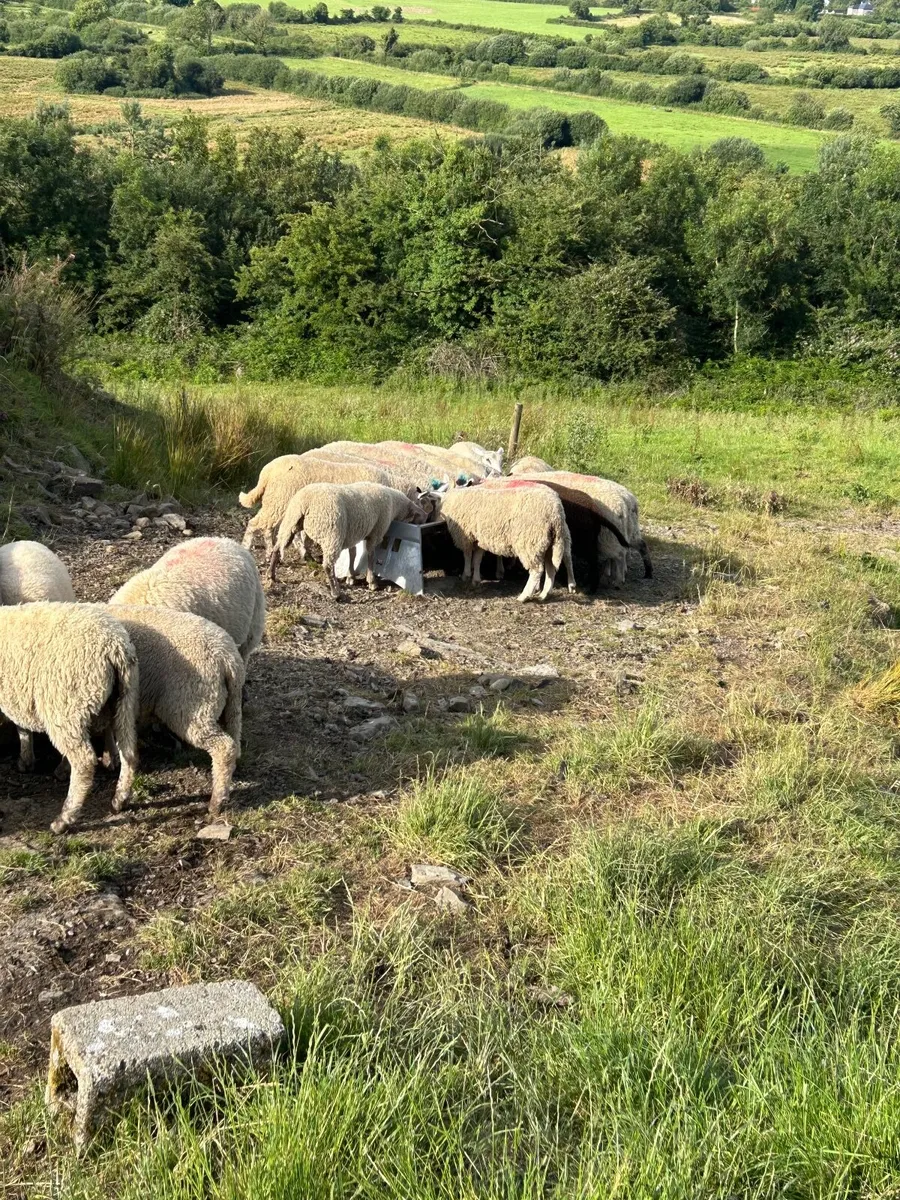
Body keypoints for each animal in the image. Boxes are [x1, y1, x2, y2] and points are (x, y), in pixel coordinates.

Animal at [0, 602, 139, 833]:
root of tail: (115, 646)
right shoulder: (19, 693)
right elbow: (22, 727)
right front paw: (26, 759)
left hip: (65, 704)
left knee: (84, 761)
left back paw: (64, 819)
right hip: (124, 700)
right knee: (129, 752)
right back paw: (120, 800)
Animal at [107, 606, 244, 817]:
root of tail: (228, 658)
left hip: (190, 708)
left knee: (224, 747)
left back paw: (216, 803)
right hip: (229, 706)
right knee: (234, 742)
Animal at [240, 456, 415, 557]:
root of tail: (267, 471)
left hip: (277, 503)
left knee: (268, 527)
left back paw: (270, 550)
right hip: (279, 500)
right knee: (255, 523)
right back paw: (246, 546)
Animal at [270, 482, 427, 598]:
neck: (395, 505)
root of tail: (306, 502)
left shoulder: (353, 533)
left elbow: (353, 554)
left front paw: (351, 576)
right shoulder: (375, 533)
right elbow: (371, 555)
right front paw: (371, 581)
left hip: (290, 522)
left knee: (276, 548)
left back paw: (271, 575)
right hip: (332, 532)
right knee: (328, 565)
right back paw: (335, 592)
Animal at [436, 481, 577, 603]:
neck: (454, 498)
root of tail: (555, 512)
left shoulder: (465, 537)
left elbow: (467, 556)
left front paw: (466, 575)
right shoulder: (479, 538)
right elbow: (477, 559)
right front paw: (475, 579)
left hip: (530, 541)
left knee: (537, 570)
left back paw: (524, 595)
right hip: (553, 541)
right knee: (555, 565)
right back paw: (546, 594)